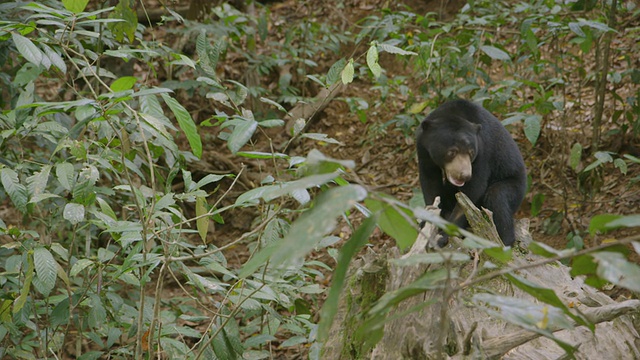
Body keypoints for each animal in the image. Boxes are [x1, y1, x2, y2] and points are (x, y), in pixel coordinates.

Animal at [418, 99, 528, 248]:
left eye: (471, 152)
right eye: (452, 152)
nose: (464, 175)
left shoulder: (483, 152)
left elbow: (473, 191)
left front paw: (442, 236)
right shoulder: (423, 150)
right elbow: (431, 186)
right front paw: (426, 223)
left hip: (515, 185)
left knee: (497, 196)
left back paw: (504, 241)